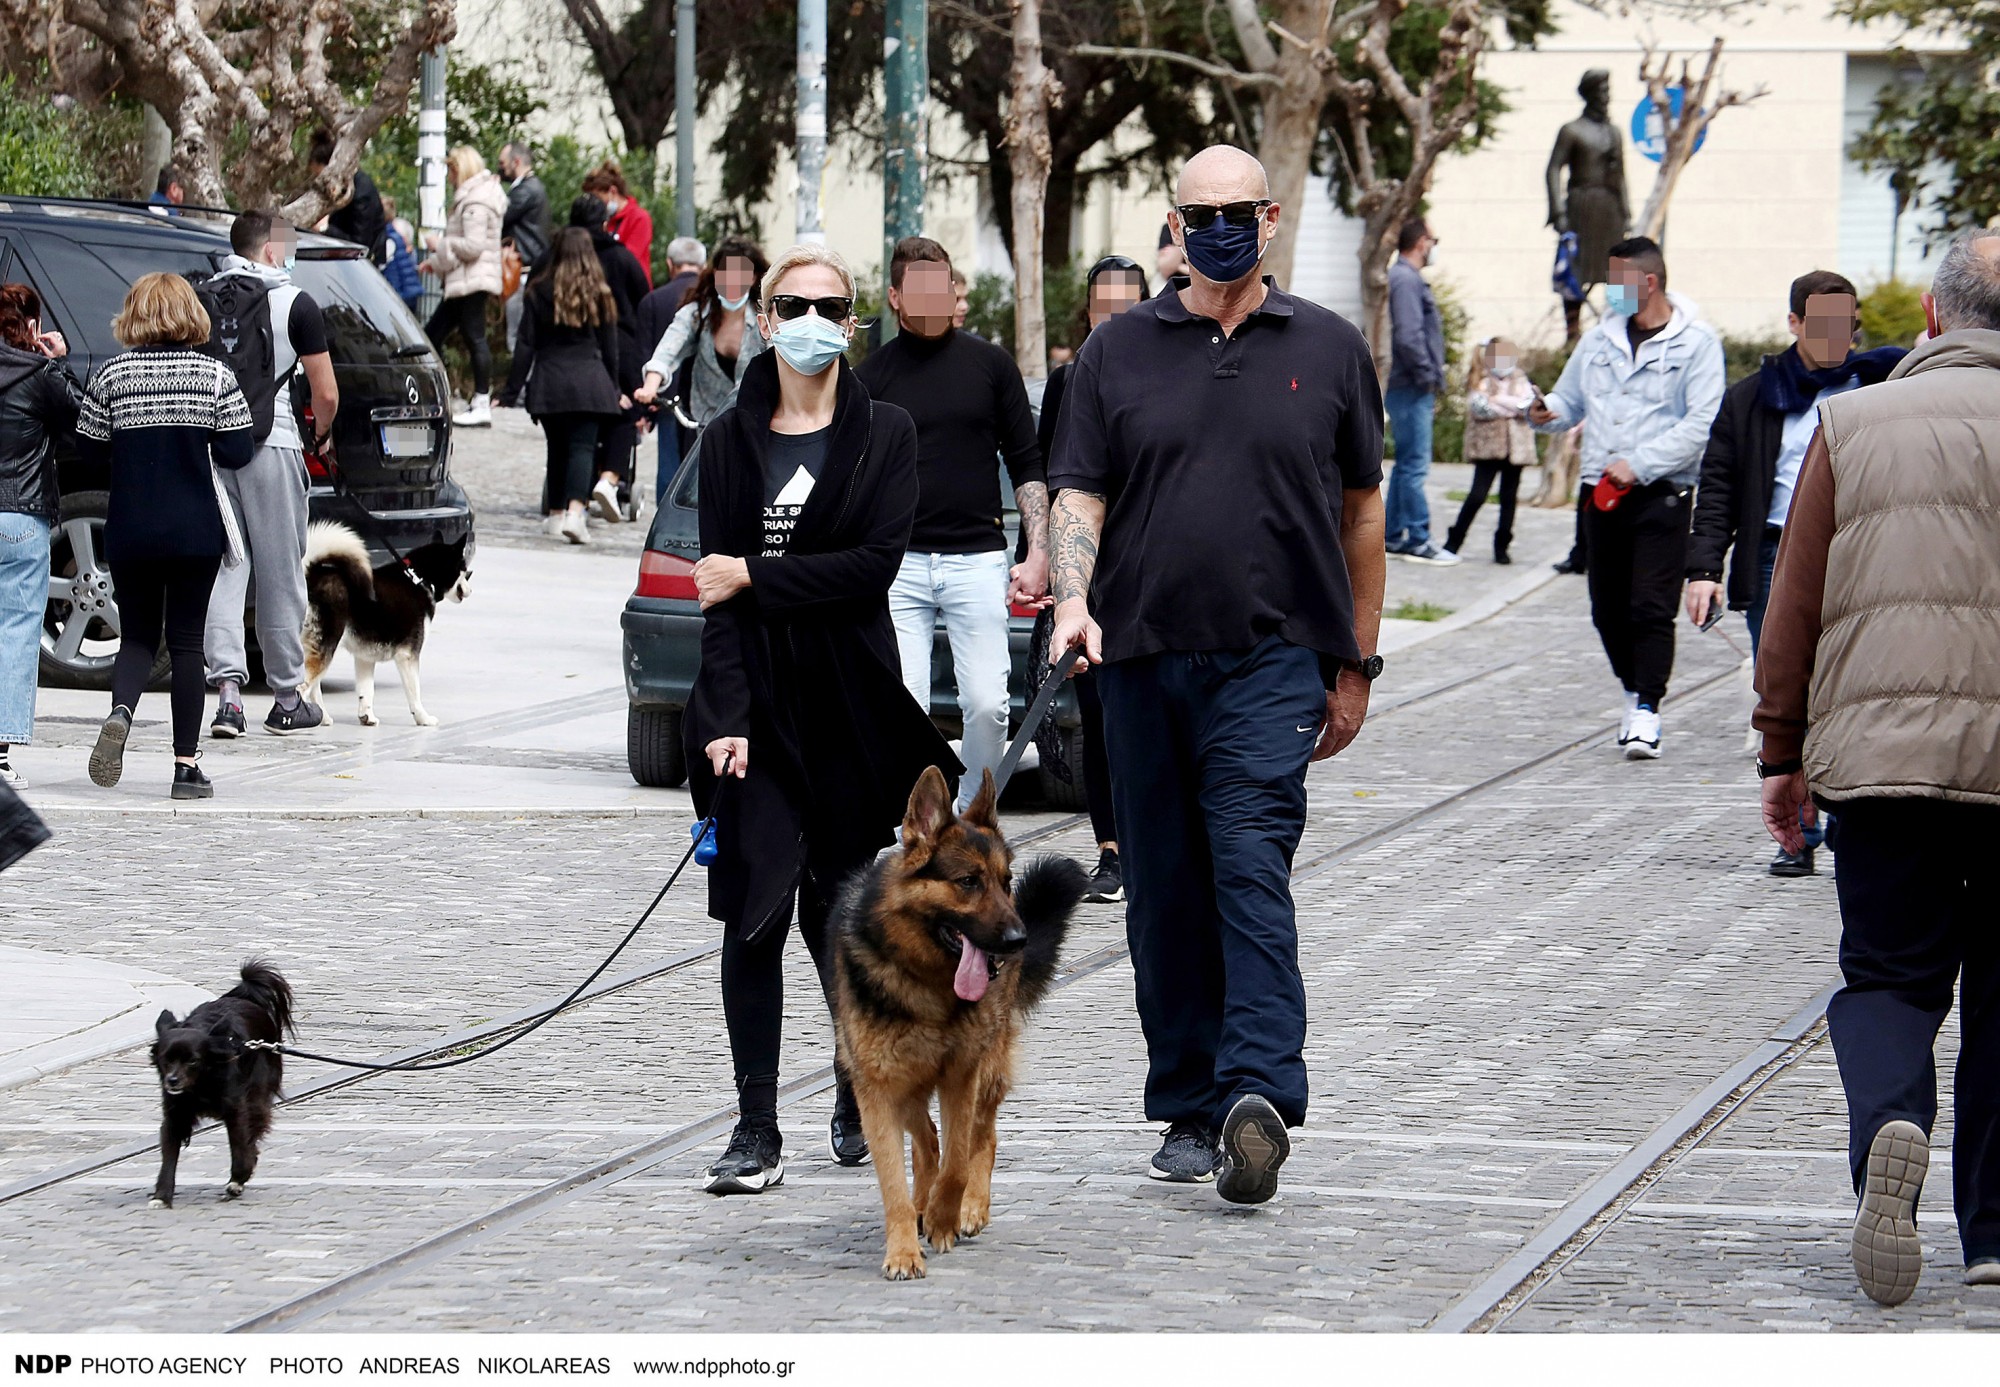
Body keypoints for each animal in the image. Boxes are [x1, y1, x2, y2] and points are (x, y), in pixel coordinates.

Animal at [150, 963, 294, 1215]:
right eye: (165, 1059)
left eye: (193, 1061)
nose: (172, 1081)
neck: (201, 1082)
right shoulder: (175, 1115)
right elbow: (169, 1157)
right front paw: (162, 1196)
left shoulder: (235, 1109)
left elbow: (239, 1145)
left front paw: (238, 1178)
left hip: (256, 1095)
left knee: (253, 1130)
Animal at [828, 771, 1088, 1279]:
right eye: (968, 882)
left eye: (1006, 882)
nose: (1018, 940)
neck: (927, 983)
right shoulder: (878, 1091)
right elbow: (896, 1179)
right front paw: (904, 1249)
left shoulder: (961, 1076)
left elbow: (958, 1163)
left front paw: (946, 1219)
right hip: (908, 1087)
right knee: (927, 1141)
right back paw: (922, 1203)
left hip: (986, 1072)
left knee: (981, 1138)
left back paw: (969, 1209)